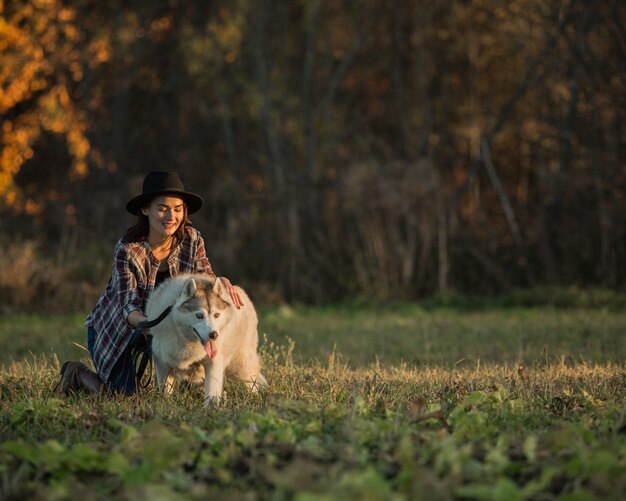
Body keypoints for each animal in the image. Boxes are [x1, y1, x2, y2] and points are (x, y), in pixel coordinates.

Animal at [145, 274, 264, 402]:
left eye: (217, 315)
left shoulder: (214, 362)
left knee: (251, 382)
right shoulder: (162, 362)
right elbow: (165, 390)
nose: (214, 335)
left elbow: (212, 392)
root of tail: (242, 292)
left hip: (242, 365)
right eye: (199, 315)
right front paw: (166, 401)